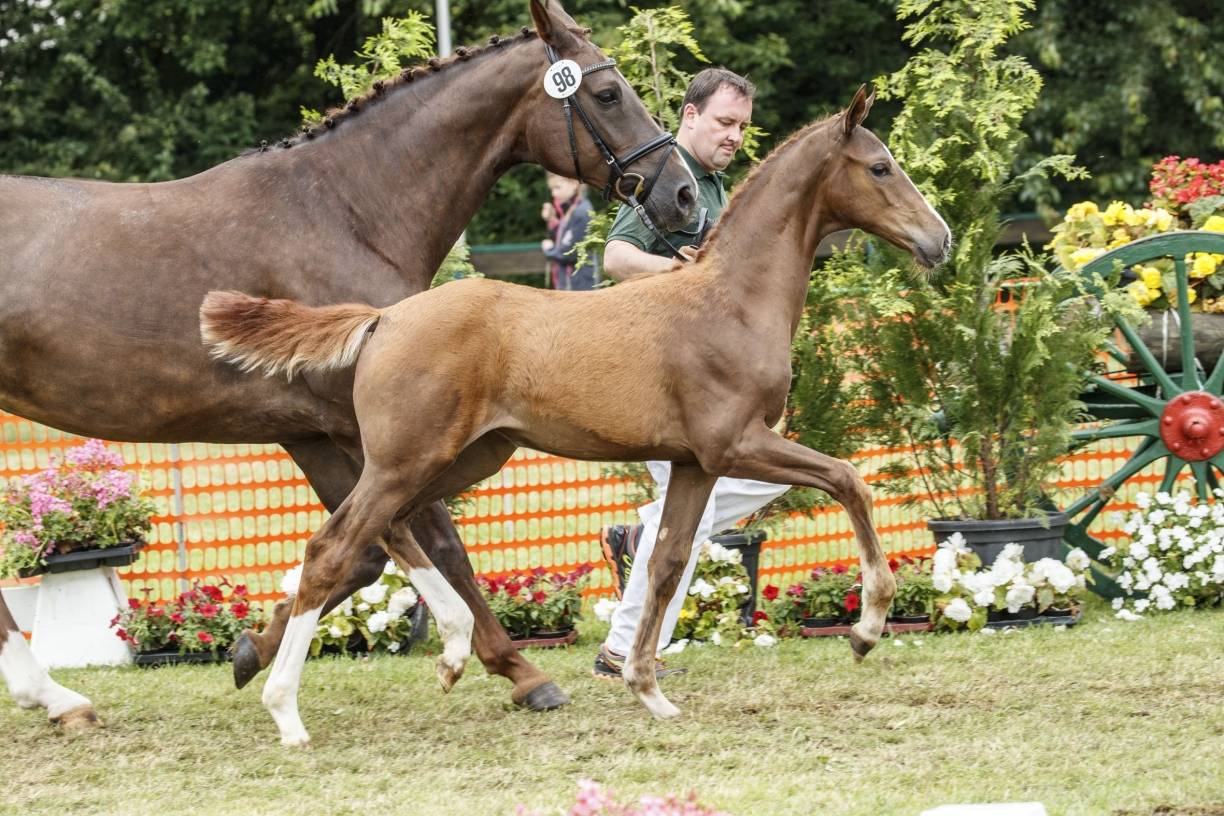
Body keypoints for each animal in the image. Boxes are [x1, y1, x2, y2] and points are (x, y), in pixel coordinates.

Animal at [200, 86, 949, 743]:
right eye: (880, 167)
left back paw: (435, 652)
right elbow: (849, 479)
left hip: (459, 458)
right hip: (408, 459)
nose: (938, 240)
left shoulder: (694, 462)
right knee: (336, 546)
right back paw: (288, 711)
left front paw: (648, 690)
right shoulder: (736, 443)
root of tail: (384, 318)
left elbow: (666, 561)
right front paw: (867, 628)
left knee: (385, 531)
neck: (732, 300)